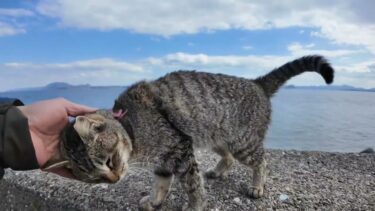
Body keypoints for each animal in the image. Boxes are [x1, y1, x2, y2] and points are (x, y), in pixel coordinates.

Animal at [47, 55, 334, 210]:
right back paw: (218, 171)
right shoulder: (165, 160)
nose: (115, 179)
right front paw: (154, 201)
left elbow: (193, 185)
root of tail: (256, 83)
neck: (131, 125)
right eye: (96, 178)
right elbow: (161, 184)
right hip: (213, 136)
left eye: (108, 161)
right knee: (228, 157)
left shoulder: (179, 148)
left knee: (262, 161)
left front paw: (196, 205)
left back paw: (257, 185)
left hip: (242, 142)